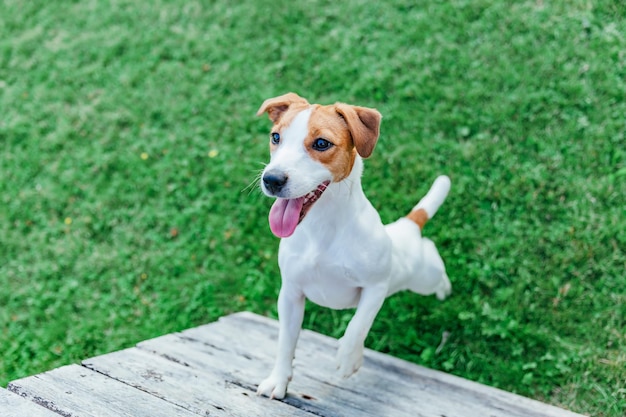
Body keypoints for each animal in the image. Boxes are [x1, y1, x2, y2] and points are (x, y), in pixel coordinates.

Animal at [255, 92, 454, 398]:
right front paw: (278, 379)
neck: (322, 227)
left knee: (433, 260)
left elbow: (358, 325)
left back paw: (444, 288)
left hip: (423, 276)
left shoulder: (376, 287)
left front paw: (349, 359)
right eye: (276, 137)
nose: (272, 180)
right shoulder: (290, 293)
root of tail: (406, 225)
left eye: (321, 143)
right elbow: (285, 342)